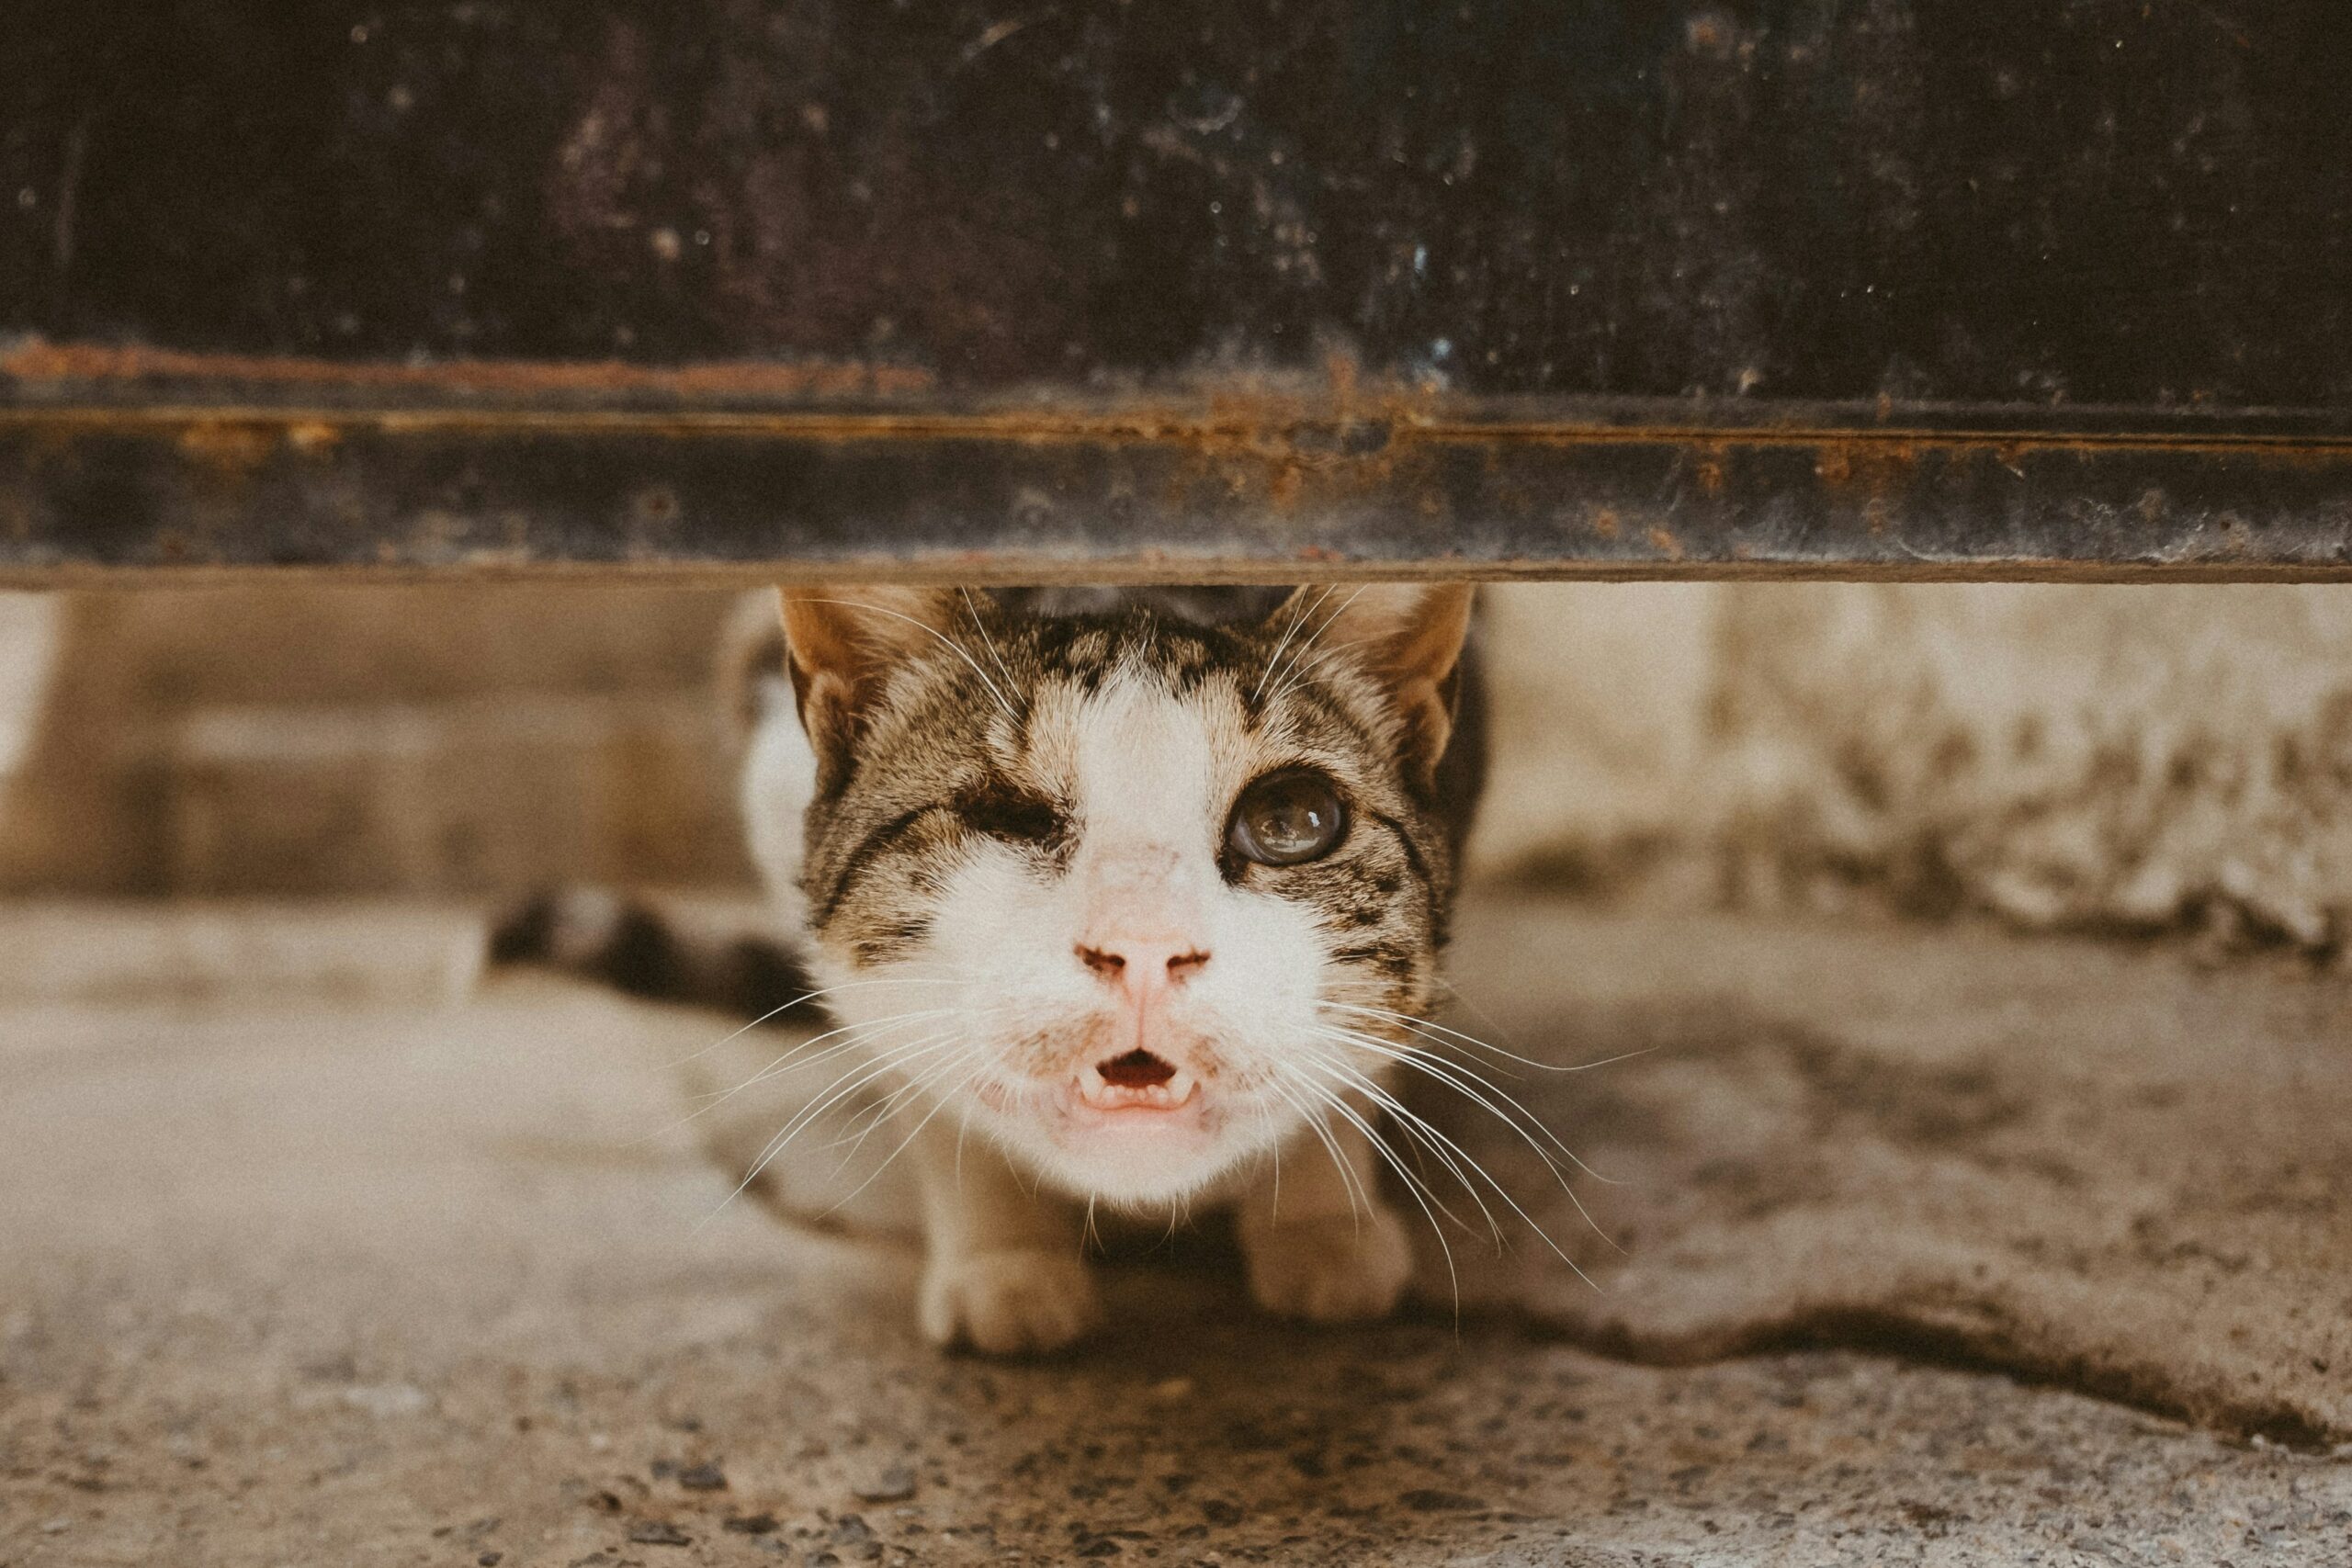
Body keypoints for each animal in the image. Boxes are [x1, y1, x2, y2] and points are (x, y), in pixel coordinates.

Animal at [496, 582, 1486, 1354]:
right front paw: (1003, 1261)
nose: (1144, 944)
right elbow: (930, 1083)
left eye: (1292, 820)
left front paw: (1322, 1223)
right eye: (1005, 816)